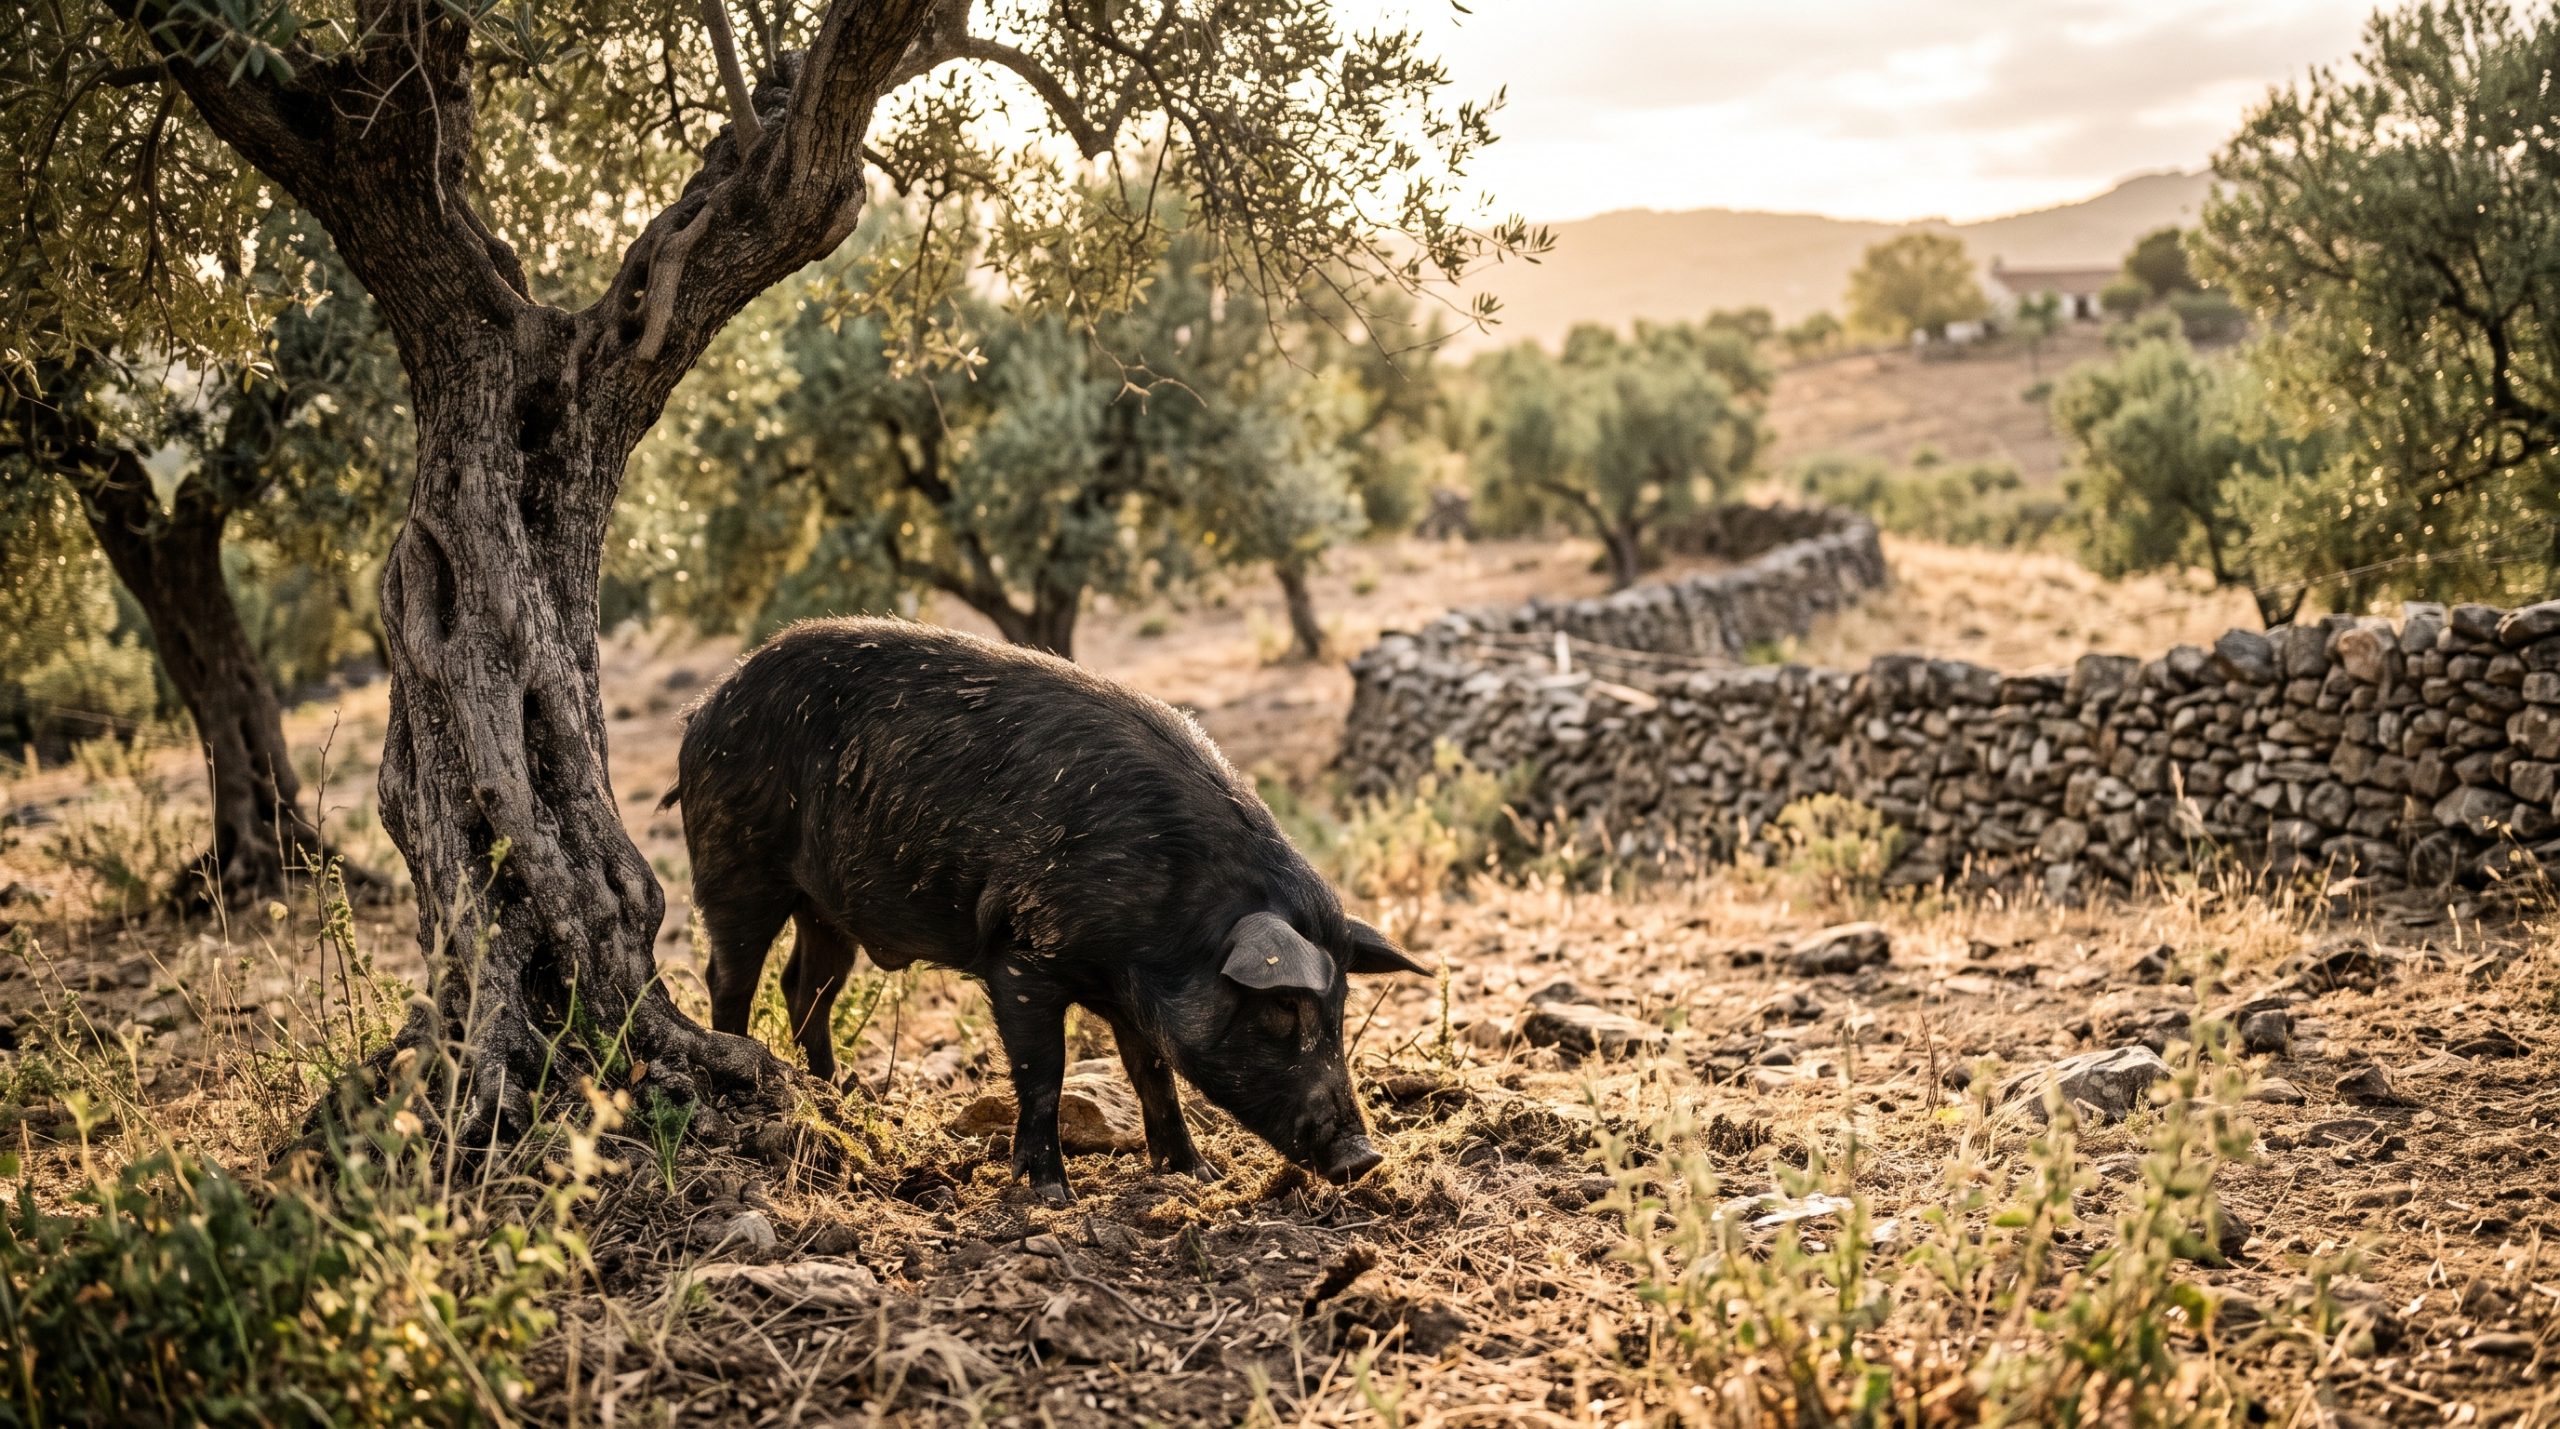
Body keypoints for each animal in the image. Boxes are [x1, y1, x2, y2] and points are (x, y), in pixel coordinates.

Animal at [661, 616, 1428, 1202]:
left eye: (1340, 1009)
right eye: (1283, 1008)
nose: (1364, 1156)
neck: (1171, 917)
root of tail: (702, 711)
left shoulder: (1130, 995)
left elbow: (1152, 1073)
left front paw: (1198, 1175)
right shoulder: (1023, 959)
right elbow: (1045, 1071)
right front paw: (1052, 1192)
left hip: (827, 909)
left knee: (805, 985)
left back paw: (842, 1098)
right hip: (738, 862)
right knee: (730, 974)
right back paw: (750, 1066)